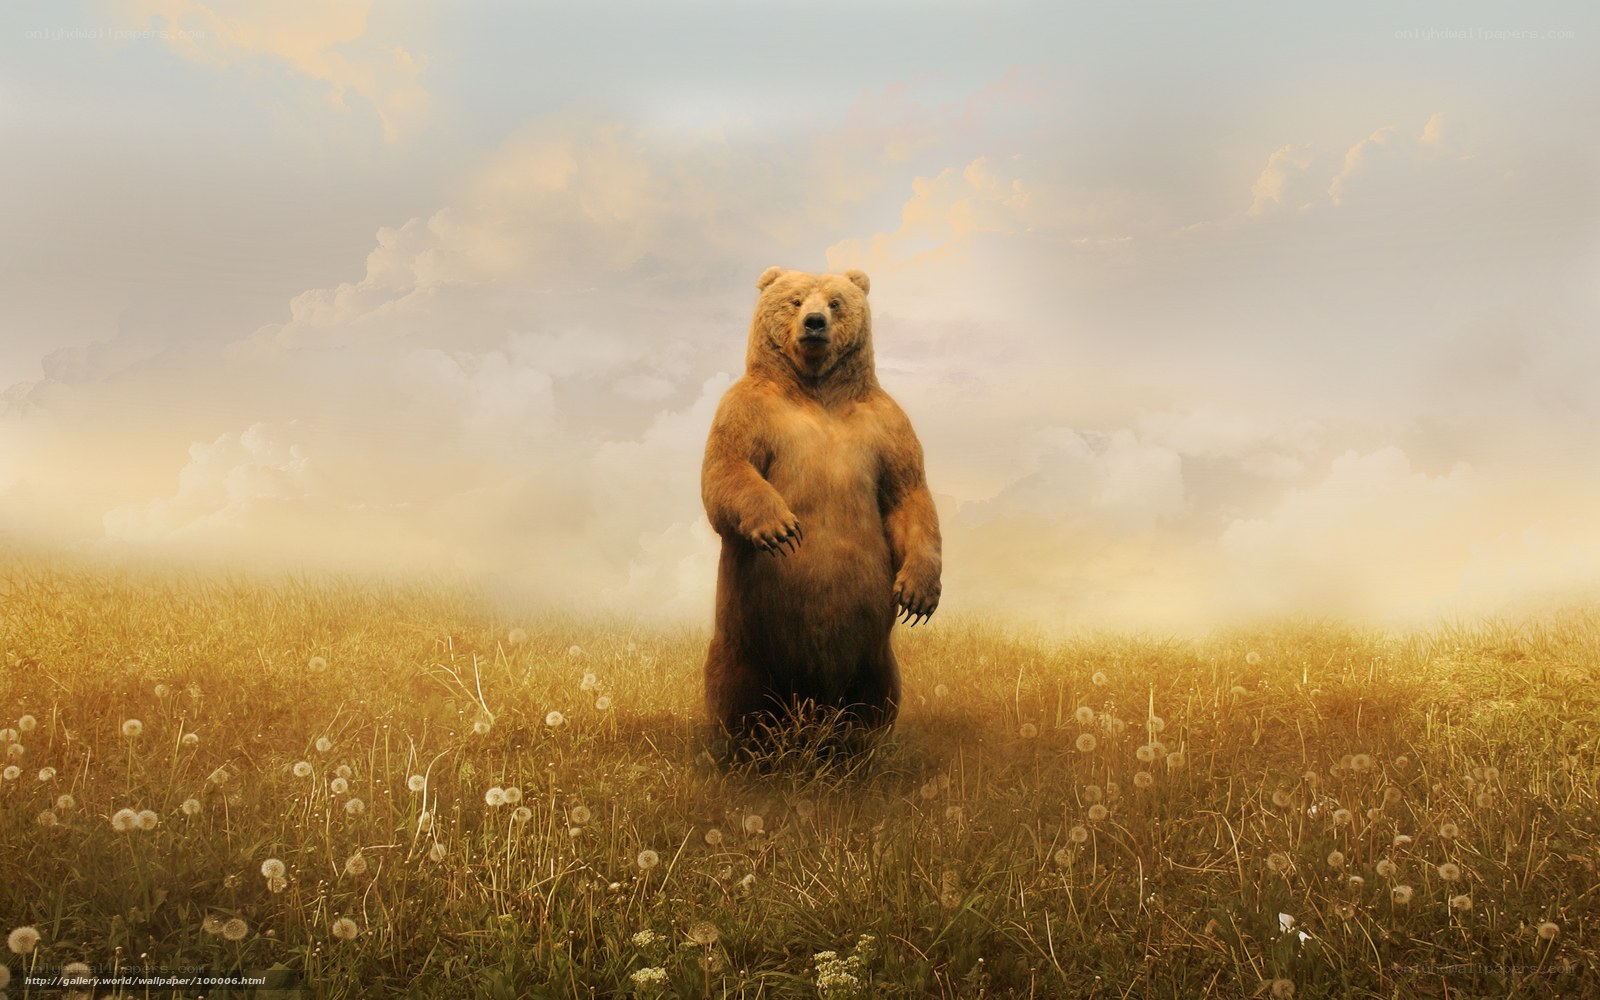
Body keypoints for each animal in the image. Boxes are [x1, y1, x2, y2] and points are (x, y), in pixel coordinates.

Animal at [701, 266, 942, 745]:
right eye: (795, 300)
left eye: (835, 302)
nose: (814, 323)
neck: (815, 388)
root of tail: (811, 704)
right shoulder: (747, 410)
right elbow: (727, 469)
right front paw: (781, 528)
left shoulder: (886, 425)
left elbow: (908, 494)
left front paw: (917, 595)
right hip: (745, 642)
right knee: (737, 693)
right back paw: (748, 746)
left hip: (873, 655)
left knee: (876, 697)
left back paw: (857, 743)